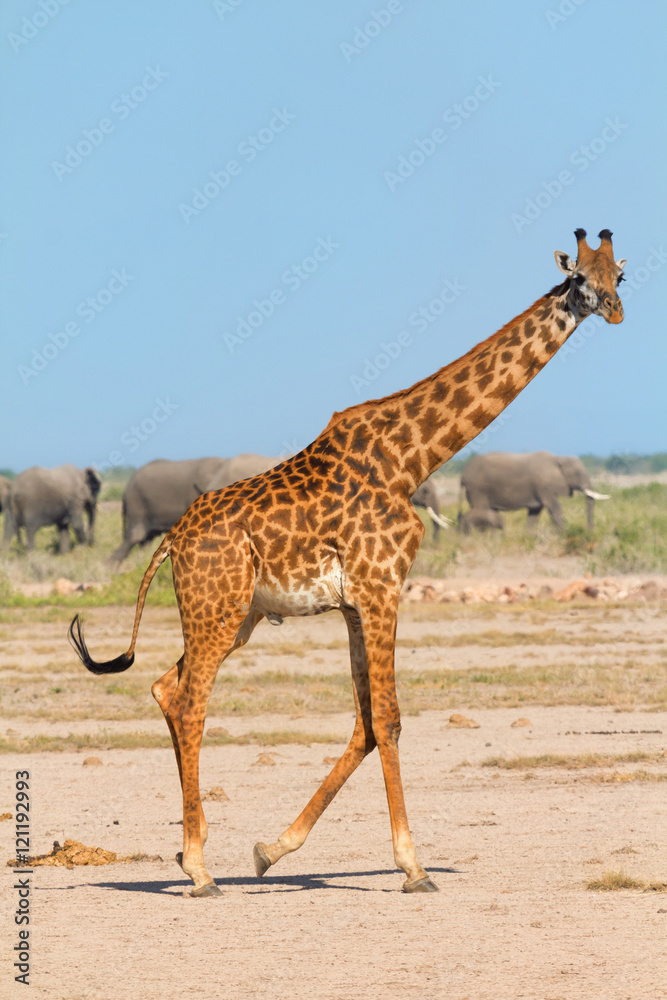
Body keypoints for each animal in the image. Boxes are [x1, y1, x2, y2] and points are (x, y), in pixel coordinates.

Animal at [460, 452, 609, 532]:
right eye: (577, 473)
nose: (589, 531)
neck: (559, 458)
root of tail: (463, 475)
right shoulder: (544, 485)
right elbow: (554, 507)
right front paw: (566, 533)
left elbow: (535, 512)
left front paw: (528, 536)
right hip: (477, 488)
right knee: (481, 510)